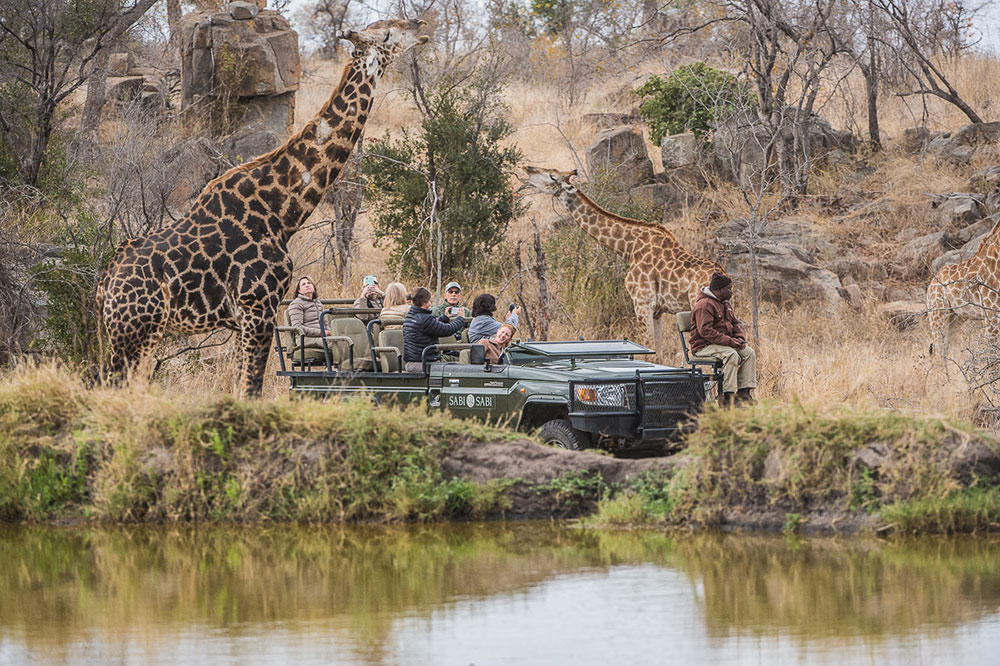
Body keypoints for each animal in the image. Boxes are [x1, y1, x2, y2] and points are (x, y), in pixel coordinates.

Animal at [98, 19, 430, 394]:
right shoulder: (259, 307)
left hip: (128, 334)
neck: (282, 211)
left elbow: (239, 387)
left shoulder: (241, 321)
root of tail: (104, 284)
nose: (420, 25)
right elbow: (252, 388)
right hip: (135, 331)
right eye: (387, 34)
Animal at [524, 165, 728, 352]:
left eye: (552, 176)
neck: (629, 248)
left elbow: (649, 350)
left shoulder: (642, 302)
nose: (527, 169)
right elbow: (658, 353)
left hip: (696, 304)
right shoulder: (657, 311)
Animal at [924, 217, 1000, 358]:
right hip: (938, 315)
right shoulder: (991, 316)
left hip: (955, 318)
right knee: (938, 353)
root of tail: (931, 285)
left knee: (946, 350)